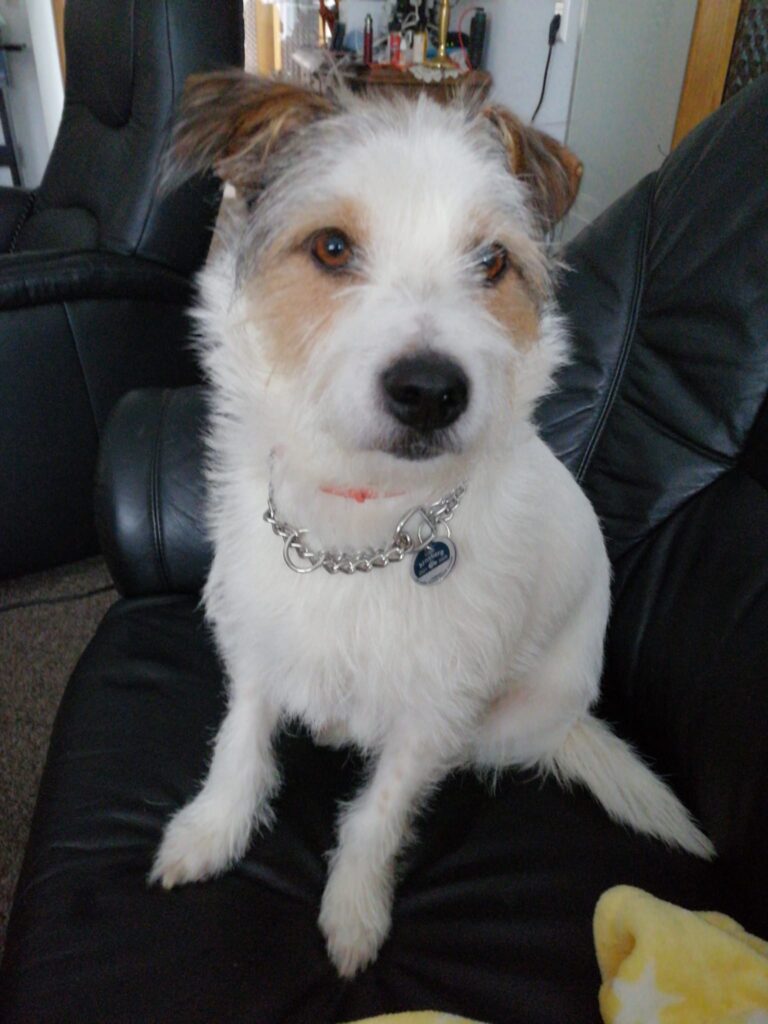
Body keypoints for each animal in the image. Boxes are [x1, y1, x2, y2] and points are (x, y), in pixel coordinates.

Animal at [149, 73, 714, 978]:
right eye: (331, 248)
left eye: (492, 263)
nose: (430, 392)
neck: (364, 522)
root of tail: (571, 721)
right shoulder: (255, 636)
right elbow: (241, 741)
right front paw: (213, 828)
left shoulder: (436, 709)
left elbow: (379, 811)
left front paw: (354, 911)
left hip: (503, 721)